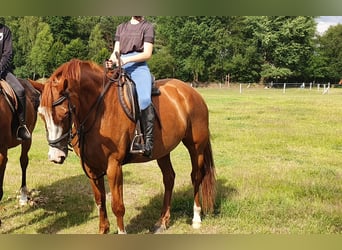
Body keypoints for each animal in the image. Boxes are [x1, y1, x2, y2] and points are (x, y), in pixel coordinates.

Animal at [30, 59, 215, 234]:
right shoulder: (91, 168)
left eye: (65, 113)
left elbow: (117, 205)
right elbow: (100, 201)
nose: (55, 156)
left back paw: (196, 218)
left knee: (196, 176)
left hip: (196, 147)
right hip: (163, 151)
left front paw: (121, 232)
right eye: (41, 115)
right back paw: (162, 222)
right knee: (169, 178)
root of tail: (190, 91)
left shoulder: (114, 165)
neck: (98, 112)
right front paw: (103, 230)